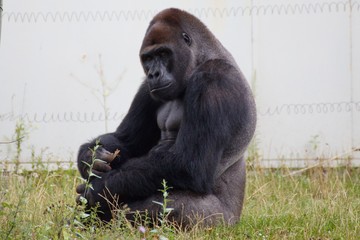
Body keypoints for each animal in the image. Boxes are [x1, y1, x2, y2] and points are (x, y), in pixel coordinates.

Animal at [75, 7, 256, 227]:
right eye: (148, 58)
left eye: (163, 53)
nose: (153, 73)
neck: (202, 57)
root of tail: (237, 220)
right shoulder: (147, 88)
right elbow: (127, 140)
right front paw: (89, 156)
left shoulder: (215, 80)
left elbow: (189, 165)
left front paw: (100, 189)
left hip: (222, 222)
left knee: (174, 206)